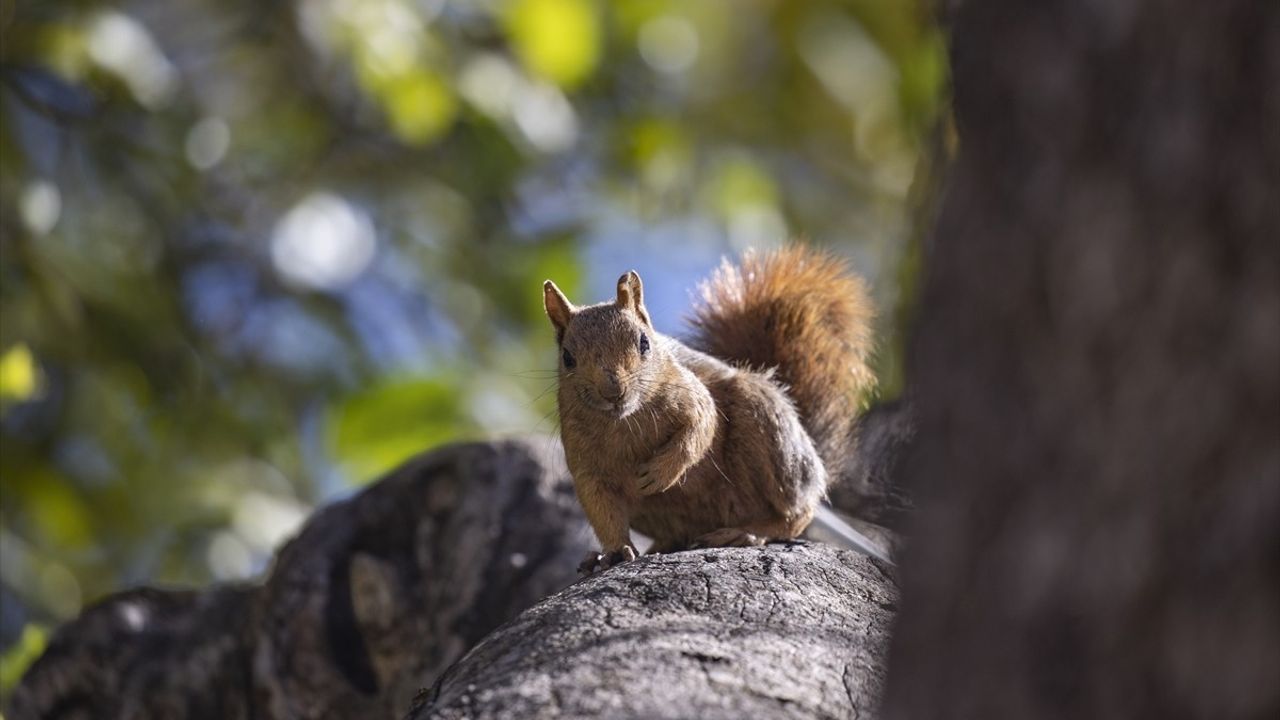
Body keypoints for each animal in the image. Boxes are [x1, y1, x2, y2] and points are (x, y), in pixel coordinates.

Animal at [540, 243, 880, 568]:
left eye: (644, 343)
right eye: (567, 357)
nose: (613, 391)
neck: (624, 420)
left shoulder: (693, 395)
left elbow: (701, 427)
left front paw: (660, 473)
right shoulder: (586, 466)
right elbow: (602, 510)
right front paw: (613, 552)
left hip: (768, 426)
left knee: (796, 513)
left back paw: (748, 532)